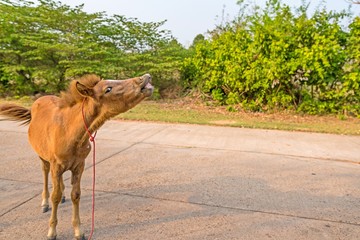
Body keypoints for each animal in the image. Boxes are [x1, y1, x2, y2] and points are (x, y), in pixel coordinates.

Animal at [0, 74, 153, 239]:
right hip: (43, 158)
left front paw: (78, 231)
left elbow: (76, 195)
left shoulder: (79, 165)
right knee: (45, 173)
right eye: (108, 89)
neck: (69, 131)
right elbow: (55, 196)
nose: (144, 78)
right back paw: (45, 203)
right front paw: (52, 231)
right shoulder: (56, 165)